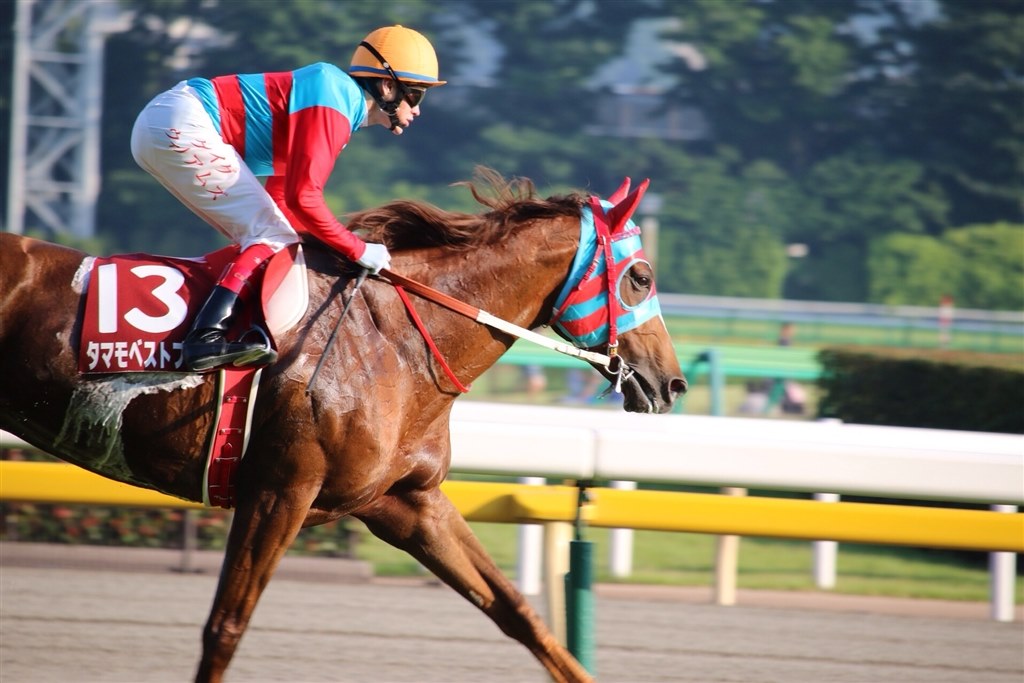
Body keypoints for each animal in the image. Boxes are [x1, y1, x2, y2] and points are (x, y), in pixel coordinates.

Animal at [0, 168, 686, 683]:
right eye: (642, 277)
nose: (673, 384)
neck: (399, 343)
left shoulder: (406, 500)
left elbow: (516, 610)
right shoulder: (279, 491)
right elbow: (226, 626)